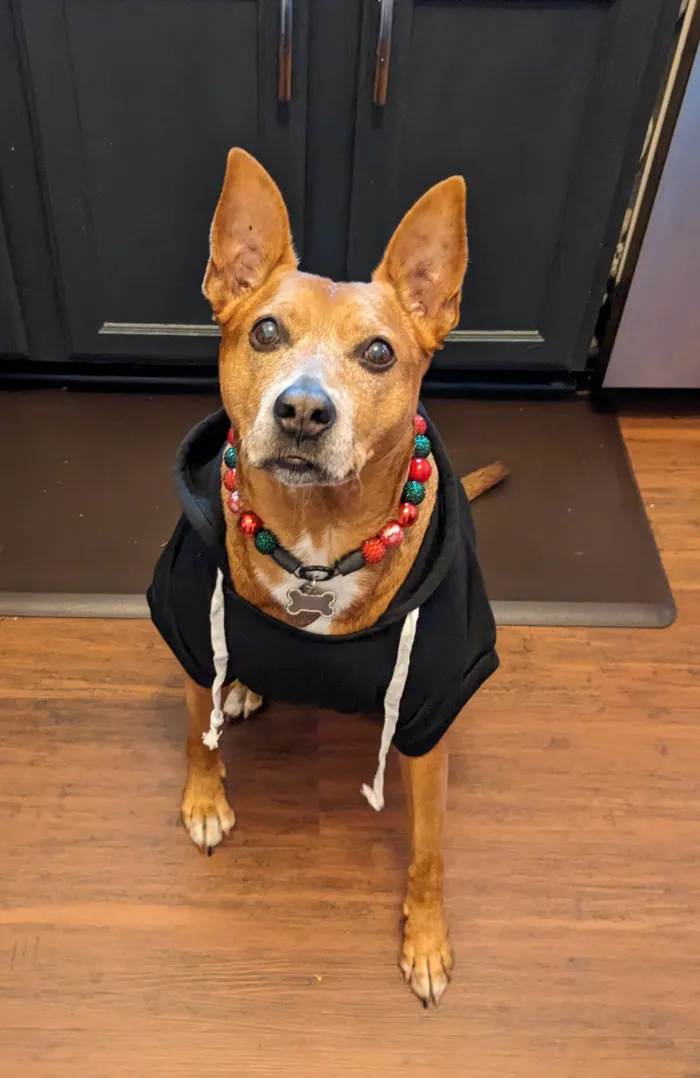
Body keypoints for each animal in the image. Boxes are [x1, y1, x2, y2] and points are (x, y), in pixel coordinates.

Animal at [149, 147, 504, 1004]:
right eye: (265, 331)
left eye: (378, 352)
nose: (303, 411)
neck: (316, 542)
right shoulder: (191, 638)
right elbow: (197, 742)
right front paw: (204, 801)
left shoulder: (426, 723)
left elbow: (429, 853)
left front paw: (426, 939)